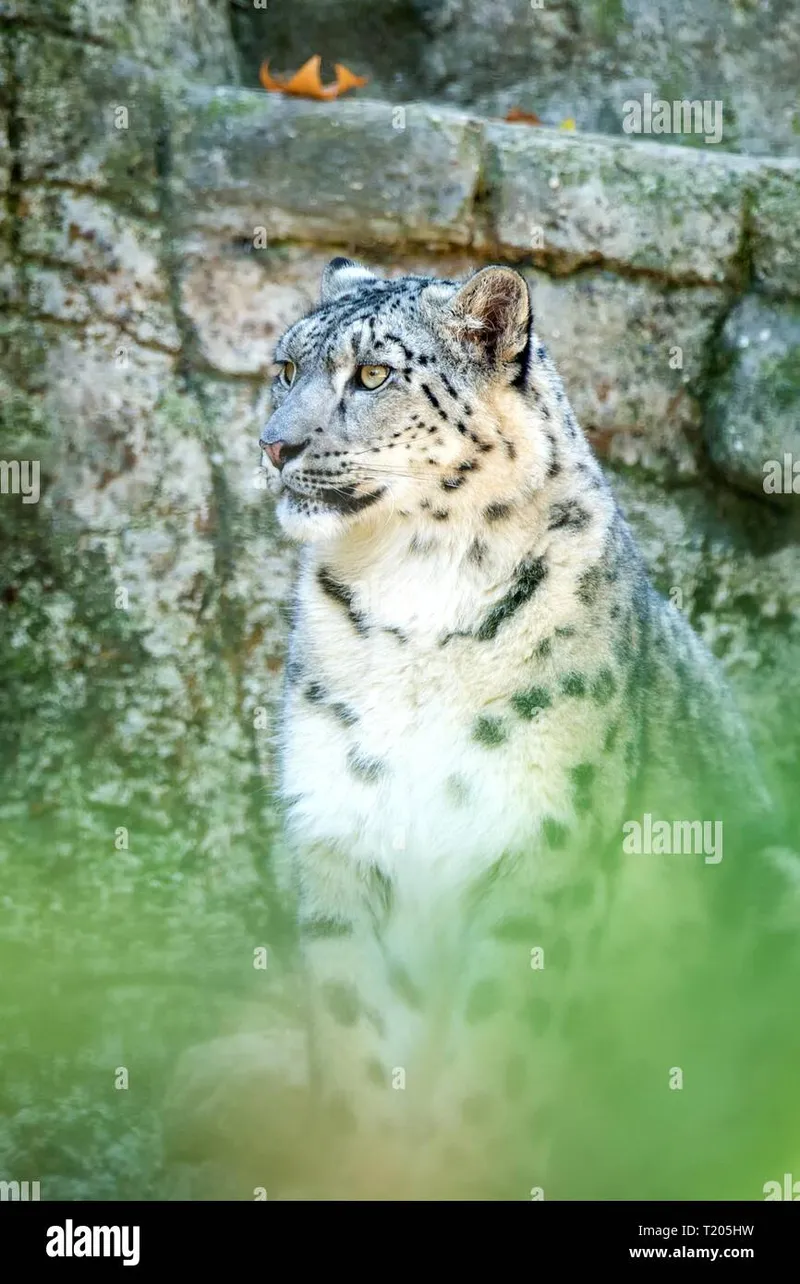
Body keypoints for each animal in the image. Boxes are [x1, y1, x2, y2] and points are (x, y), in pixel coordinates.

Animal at [258, 255, 800, 1196]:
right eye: (286, 367)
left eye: (374, 374)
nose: (274, 445)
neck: (413, 597)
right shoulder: (340, 838)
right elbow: (361, 1044)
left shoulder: (542, 845)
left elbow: (495, 1058)